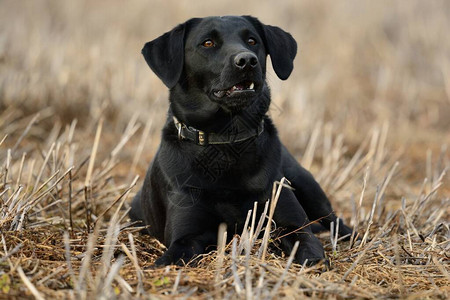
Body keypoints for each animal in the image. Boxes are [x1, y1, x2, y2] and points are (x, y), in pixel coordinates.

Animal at [128, 15, 354, 266]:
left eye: (252, 40)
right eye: (207, 43)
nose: (247, 60)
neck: (228, 140)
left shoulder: (294, 225)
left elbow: (309, 248)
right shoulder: (185, 236)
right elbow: (169, 260)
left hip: (305, 183)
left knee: (335, 222)